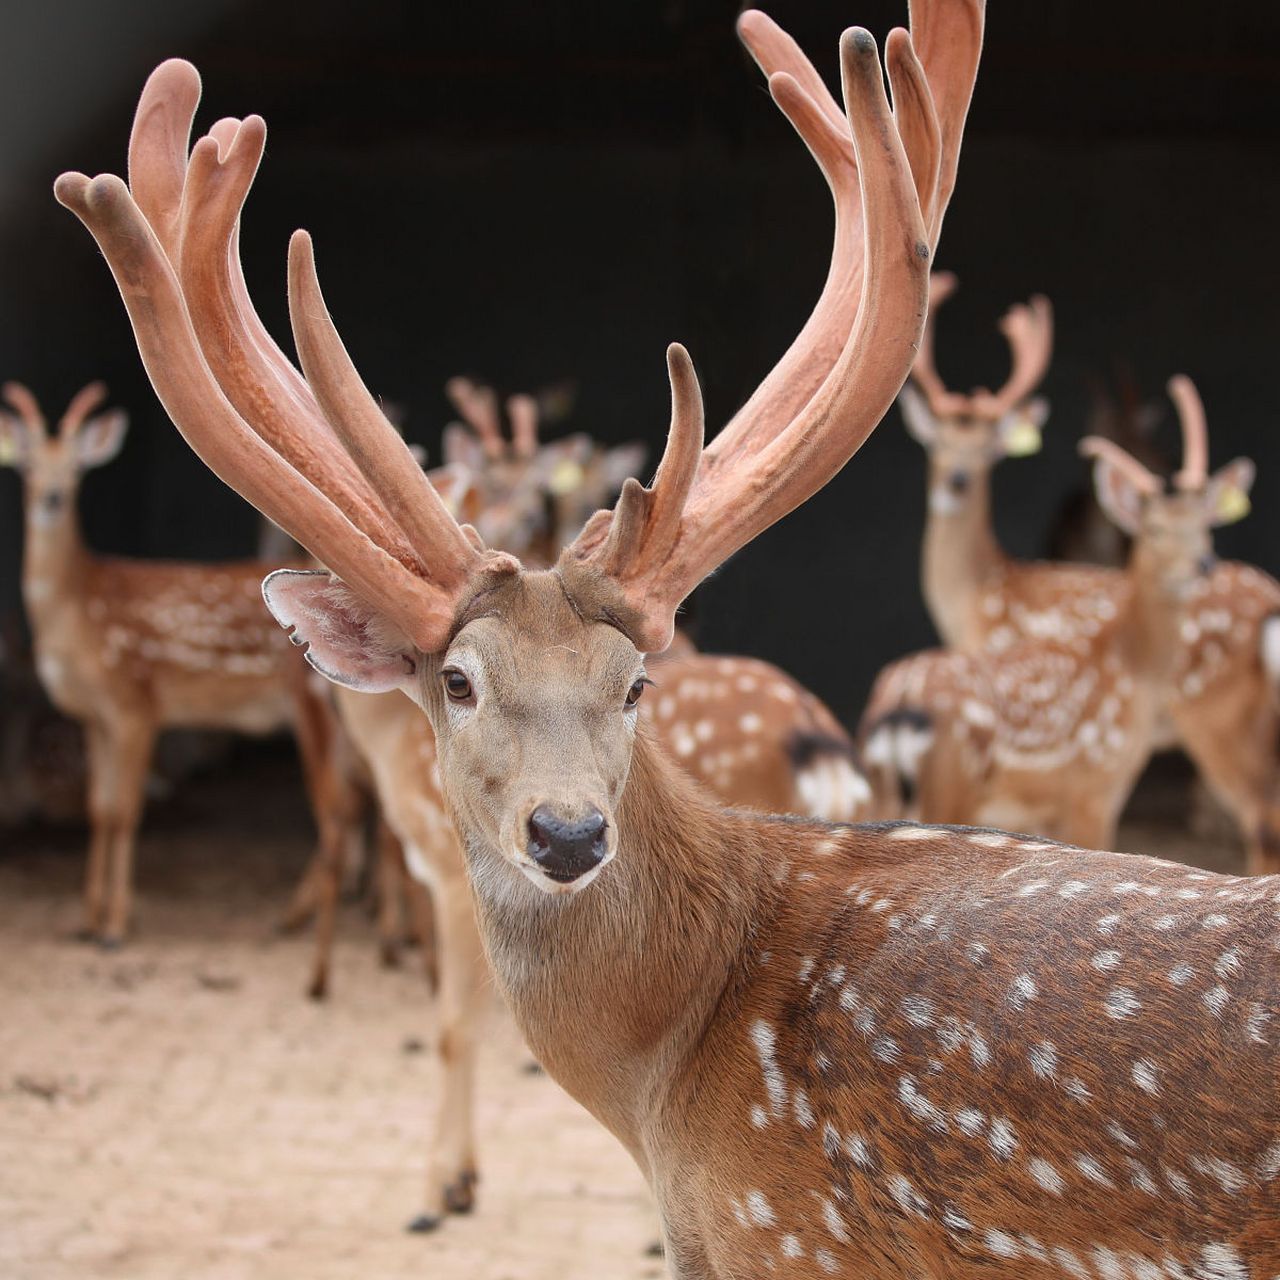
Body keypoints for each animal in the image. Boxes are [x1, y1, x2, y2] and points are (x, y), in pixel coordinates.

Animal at [0, 383, 351, 955]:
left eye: (76, 468)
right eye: (26, 463)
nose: (50, 498)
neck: (76, 611)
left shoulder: (136, 703)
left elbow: (126, 810)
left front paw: (115, 927)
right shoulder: (94, 716)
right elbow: (99, 808)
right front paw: (86, 919)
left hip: (310, 704)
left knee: (335, 808)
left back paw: (301, 923)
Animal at [60, 5, 1280, 1274]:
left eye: (634, 680)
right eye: (457, 679)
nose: (565, 829)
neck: (665, 1093)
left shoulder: (789, 1231)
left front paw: (443, 1186)